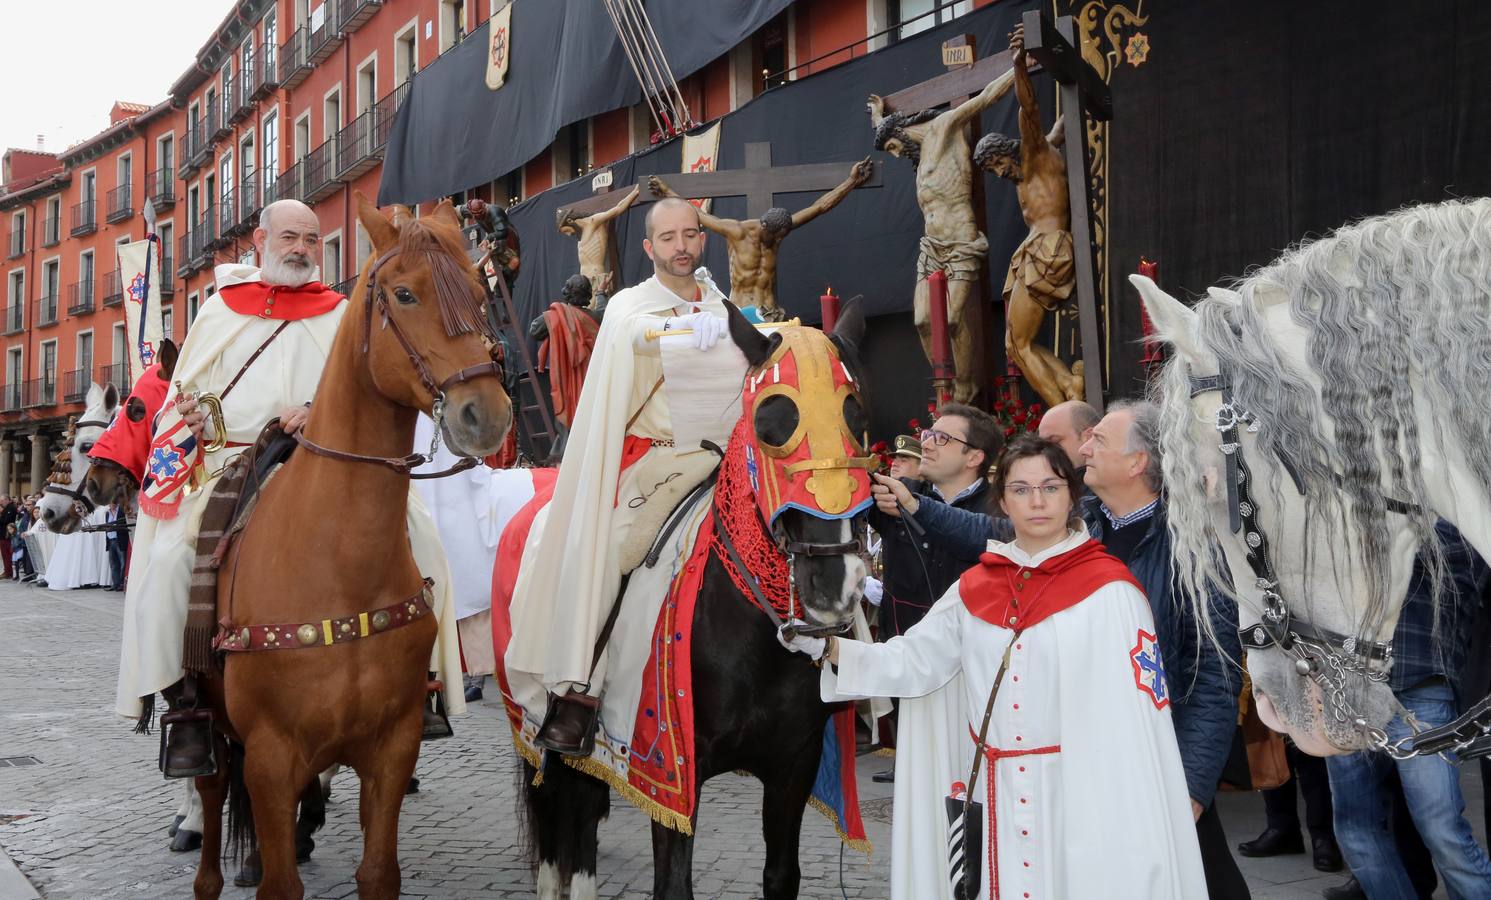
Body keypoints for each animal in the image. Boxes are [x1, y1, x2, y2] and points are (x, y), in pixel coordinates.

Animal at [189, 193, 515, 894]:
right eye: (404, 294)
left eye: (480, 293)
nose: (486, 415)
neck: (339, 565)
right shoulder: (270, 757)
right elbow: (282, 882)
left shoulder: (392, 748)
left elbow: (378, 872)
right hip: (215, 735)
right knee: (210, 799)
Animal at [524, 302, 870, 899]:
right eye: (769, 424)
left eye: (855, 415)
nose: (834, 584)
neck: (755, 637)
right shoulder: (672, 777)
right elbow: (673, 884)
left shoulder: (794, 766)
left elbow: (782, 875)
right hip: (533, 723)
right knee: (553, 809)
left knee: (582, 814)